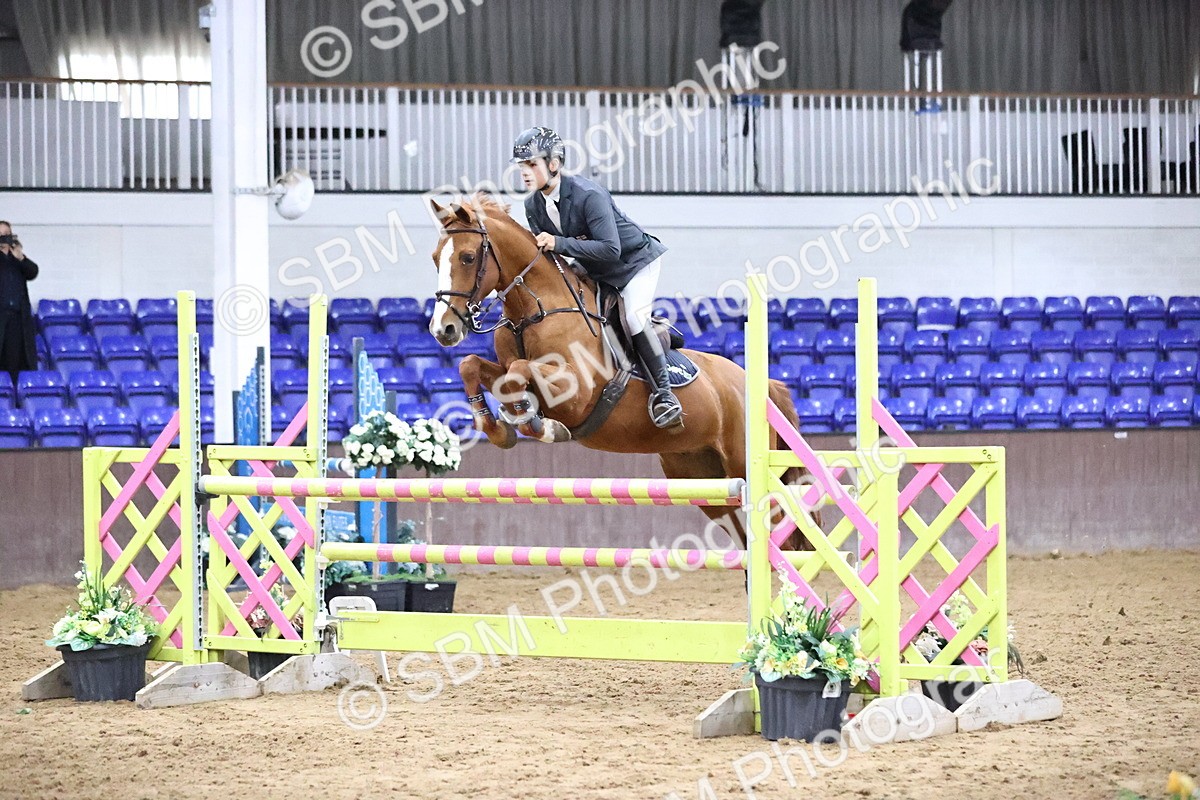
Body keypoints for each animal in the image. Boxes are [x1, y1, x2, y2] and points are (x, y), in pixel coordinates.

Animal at [425, 193, 808, 547]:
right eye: (435, 258)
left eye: (467, 257)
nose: (443, 330)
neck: (534, 311)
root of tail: (759, 385)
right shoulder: (501, 367)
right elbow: (473, 366)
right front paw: (499, 428)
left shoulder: (576, 394)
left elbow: (520, 371)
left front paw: (539, 424)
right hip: (702, 475)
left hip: (743, 467)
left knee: (782, 539)